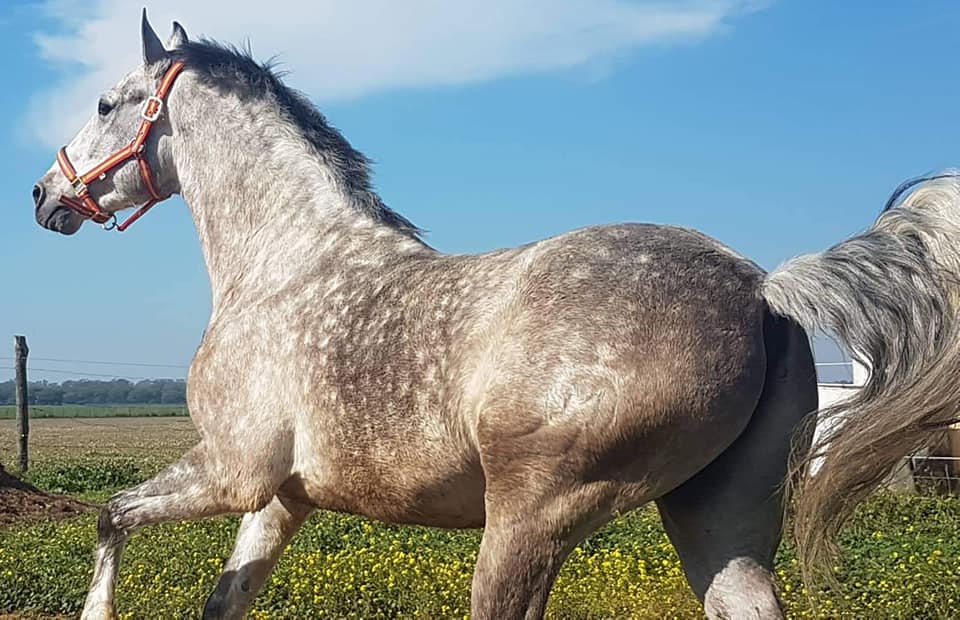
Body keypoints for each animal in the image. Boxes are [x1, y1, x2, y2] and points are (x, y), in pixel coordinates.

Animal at [30, 12, 960, 620]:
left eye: (109, 101)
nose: (45, 195)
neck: (285, 263)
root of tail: (761, 288)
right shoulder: (281, 501)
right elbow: (222, 600)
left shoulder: (233, 473)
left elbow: (111, 514)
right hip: (720, 520)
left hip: (527, 527)